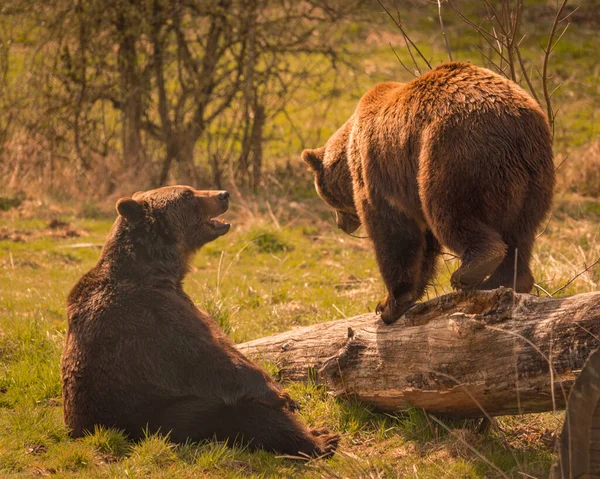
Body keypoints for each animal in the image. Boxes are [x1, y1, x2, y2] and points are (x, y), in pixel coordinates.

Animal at [302, 62, 556, 324]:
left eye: (327, 199)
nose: (340, 224)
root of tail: (514, 129)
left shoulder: (379, 174)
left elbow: (395, 234)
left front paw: (388, 304)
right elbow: (424, 245)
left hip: (452, 156)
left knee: (450, 214)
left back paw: (472, 270)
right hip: (534, 177)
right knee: (521, 233)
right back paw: (501, 282)